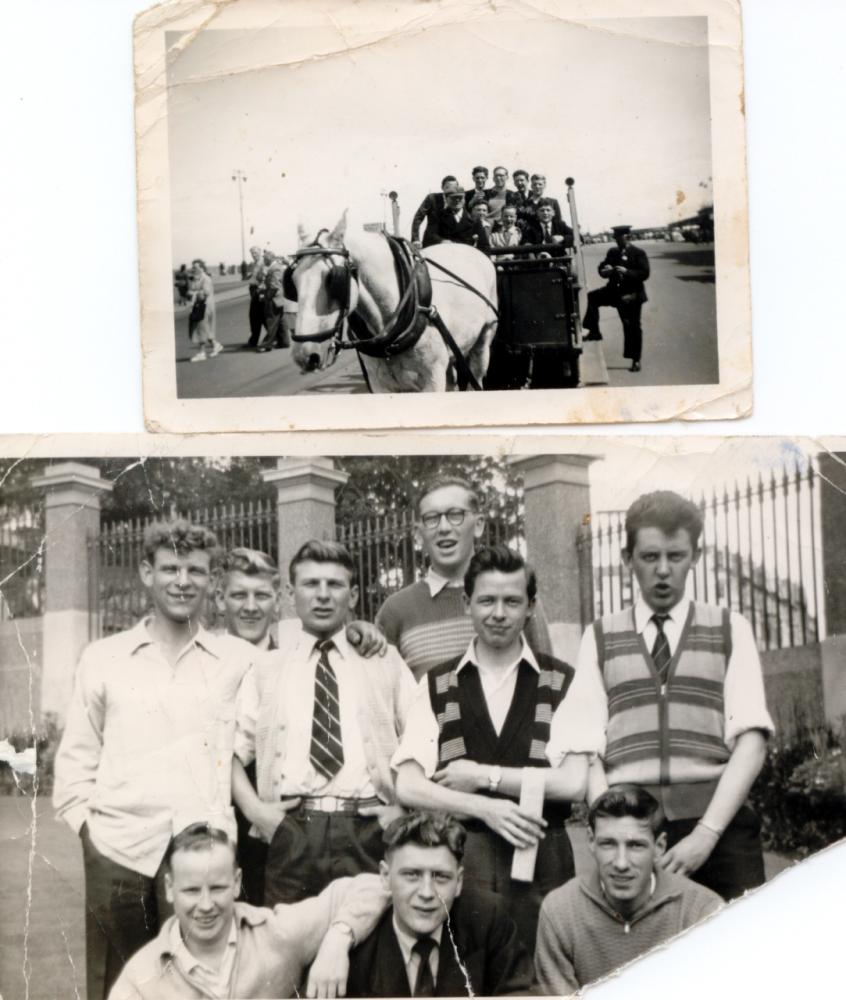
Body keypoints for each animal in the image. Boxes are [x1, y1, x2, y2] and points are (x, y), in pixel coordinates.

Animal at [288, 211, 500, 390]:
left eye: (333, 280)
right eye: (292, 281)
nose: (303, 355)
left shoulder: (432, 379)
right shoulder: (379, 383)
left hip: (484, 340)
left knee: (477, 374)